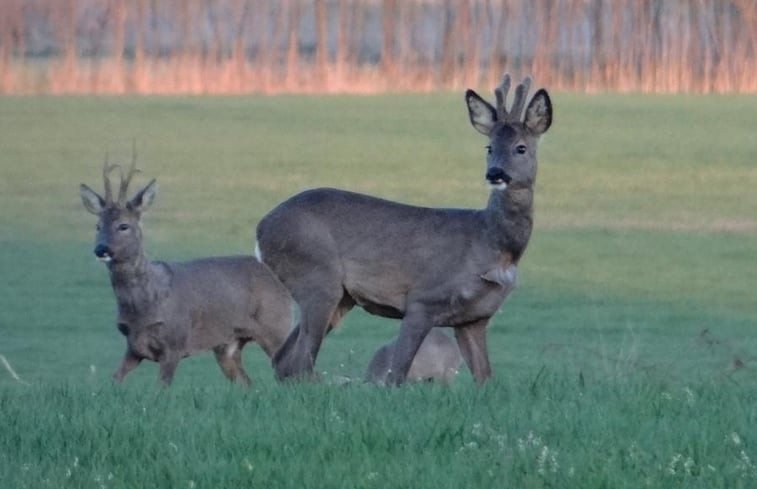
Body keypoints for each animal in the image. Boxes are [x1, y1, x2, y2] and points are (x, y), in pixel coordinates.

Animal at [80, 159, 292, 386]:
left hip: (275, 325)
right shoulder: (133, 346)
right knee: (247, 383)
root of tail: (273, 273)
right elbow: (114, 380)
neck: (144, 304)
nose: (101, 249)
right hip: (228, 345)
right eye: (97, 225)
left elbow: (161, 387)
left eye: (123, 225)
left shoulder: (175, 342)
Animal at [256, 74, 552, 384]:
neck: (492, 243)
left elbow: (485, 379)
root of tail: (261, 229)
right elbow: (396, 375)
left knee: (284, 359)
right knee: (302, 359)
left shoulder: (474, 318)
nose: (495, 173)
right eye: (489, 147)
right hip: (317, 278)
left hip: (340, 297)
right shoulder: (423, 299)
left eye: (521, 147)